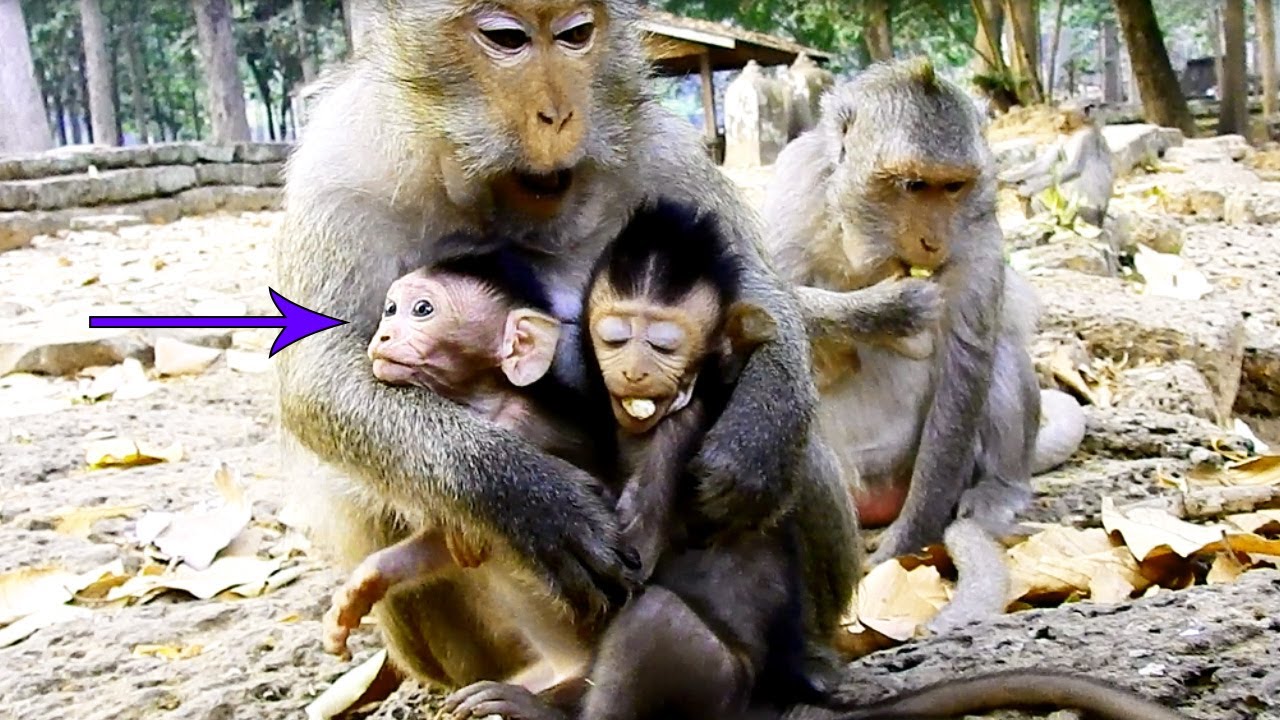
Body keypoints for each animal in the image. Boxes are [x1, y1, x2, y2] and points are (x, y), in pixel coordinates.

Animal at [274, 0, 856, 702]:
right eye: (507, 39)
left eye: (577, 34)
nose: (558, 116)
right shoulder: (342, 169)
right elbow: (319, 377)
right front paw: (529, 501)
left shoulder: (659, 147)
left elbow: (758, 293)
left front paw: (757, 433)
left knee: (801, 454)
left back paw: (807, 656)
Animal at [760, 57, 1087, 636]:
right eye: (913, 186)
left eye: (952, 187)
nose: (932, 242)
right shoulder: (793, 187)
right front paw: (883, 309)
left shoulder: (976, 222)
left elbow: (966, 357)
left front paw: (905, 545)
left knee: (999, 353)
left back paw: (999, 488)